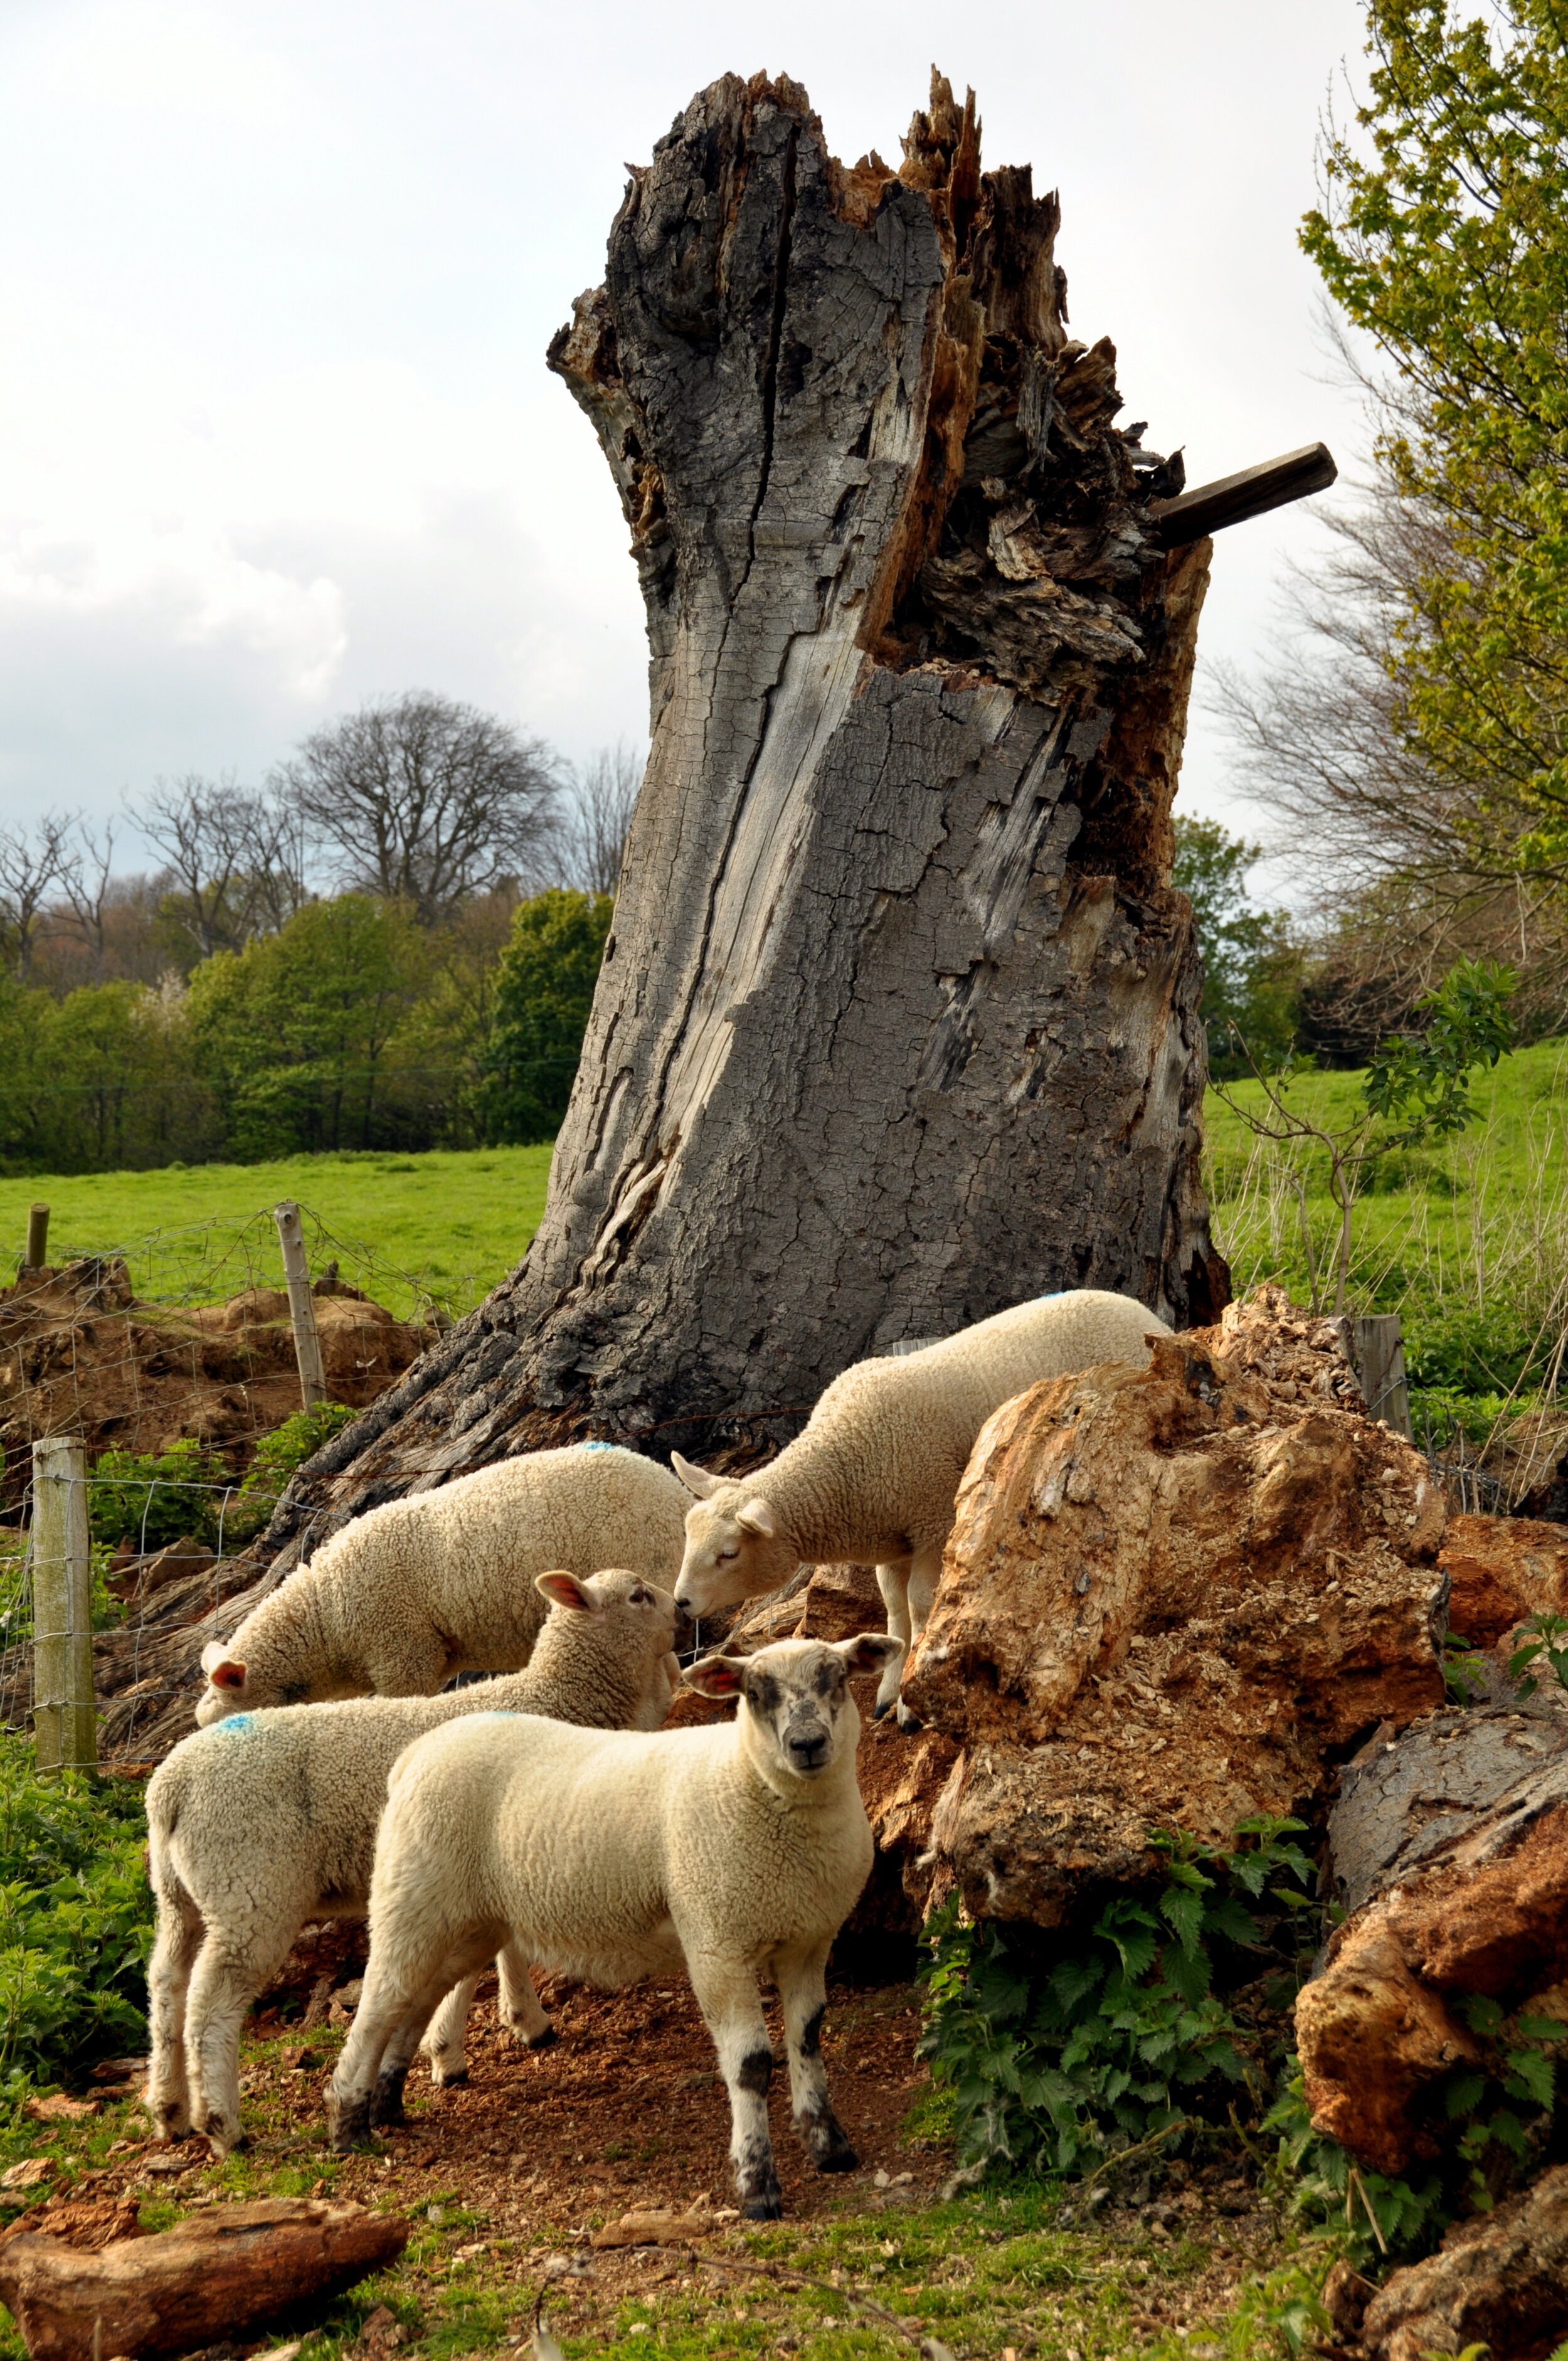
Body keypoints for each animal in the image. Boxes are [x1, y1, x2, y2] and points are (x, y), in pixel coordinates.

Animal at [147, 1567, 681, 2158]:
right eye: (638, 1596)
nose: (682, 1609)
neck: (554, 1696)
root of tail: (170, 1788)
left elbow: (502, 1949)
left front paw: (520, 2021)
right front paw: (452, 2051)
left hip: (183, 1895)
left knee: (167, 1983)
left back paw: (170, 2109)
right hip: (251, 1887)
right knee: (211, 2002)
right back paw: (224, 2126)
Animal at [324, 1628, 902, 2216]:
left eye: (838, 1679)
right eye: (755, 1692)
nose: (807, 1744)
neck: (751, 1780)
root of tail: (415, 1753)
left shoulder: (810, 1940)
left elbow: (806, 2040)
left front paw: (830, 2147)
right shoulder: (716, 1943)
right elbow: (752, 2064)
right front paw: (757, 2185)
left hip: (467, 1921)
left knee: (415, 1999)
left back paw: (387, 2103)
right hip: (410, 1899)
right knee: (377, 2007)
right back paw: (349, 2124)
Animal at [672, 1288, 1171, 1726]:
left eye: (729, 1554)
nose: (681, 1602)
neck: (841, 1462)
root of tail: (1145, 1314)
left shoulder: (934, 1522)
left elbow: (919, 1605)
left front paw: (910, 1708)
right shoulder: (893, 1538)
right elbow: (894, 1609)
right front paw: (888, 1691)